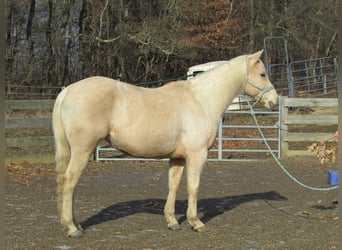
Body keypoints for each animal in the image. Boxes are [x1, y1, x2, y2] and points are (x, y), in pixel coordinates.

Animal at [53, 50, 278, 236]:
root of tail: (67, 91)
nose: (274, 100)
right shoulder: (197, 155)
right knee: (70, 181)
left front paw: (172, 221)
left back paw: (76, 224)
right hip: (82, 150)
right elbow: (193, 187)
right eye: (262, 74)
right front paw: (195, 222)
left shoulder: (177, 157)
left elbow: (174, 186)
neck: (201, 100)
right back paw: (72, 228)